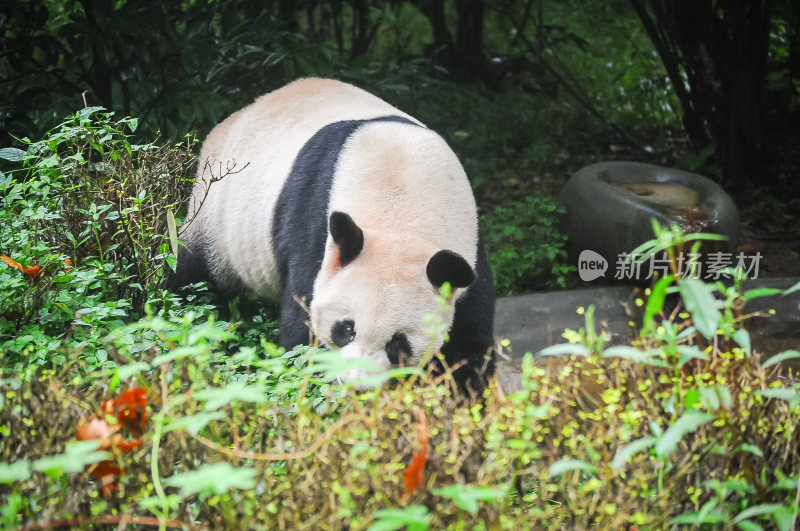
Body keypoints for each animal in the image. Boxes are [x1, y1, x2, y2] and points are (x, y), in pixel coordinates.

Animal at [170, 79, 494, 394]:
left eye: (398, 344)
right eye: (346, 329)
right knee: (190, 275)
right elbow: (302, 326)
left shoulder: (467, 253)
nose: (357, 386)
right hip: (216, 218)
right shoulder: (313, 225)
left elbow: (469, 339)